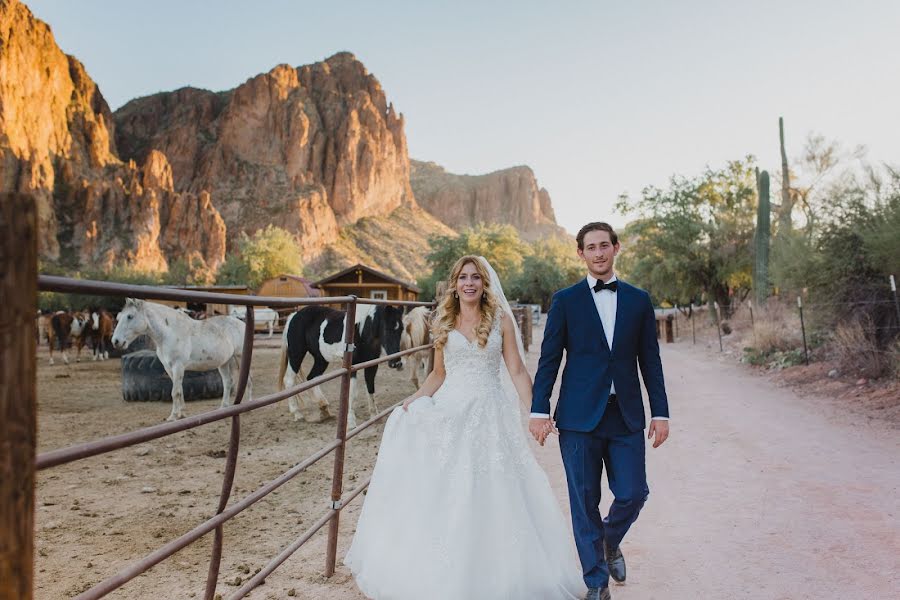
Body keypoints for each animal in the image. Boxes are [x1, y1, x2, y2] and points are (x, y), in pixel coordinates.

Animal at [114, 298, 253, 420]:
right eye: (118, 318)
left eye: (130, 316)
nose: (116, 341)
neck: (169, 333)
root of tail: (242, 323)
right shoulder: (169, 368)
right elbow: (179, 390)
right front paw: (182, 414)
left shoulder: (178, 366)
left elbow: (174, 392)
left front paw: (173, 416)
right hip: (223, 363)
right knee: (227, 382)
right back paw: (223, 408)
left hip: (240, 357)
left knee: (248, 380)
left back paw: (249, 406)